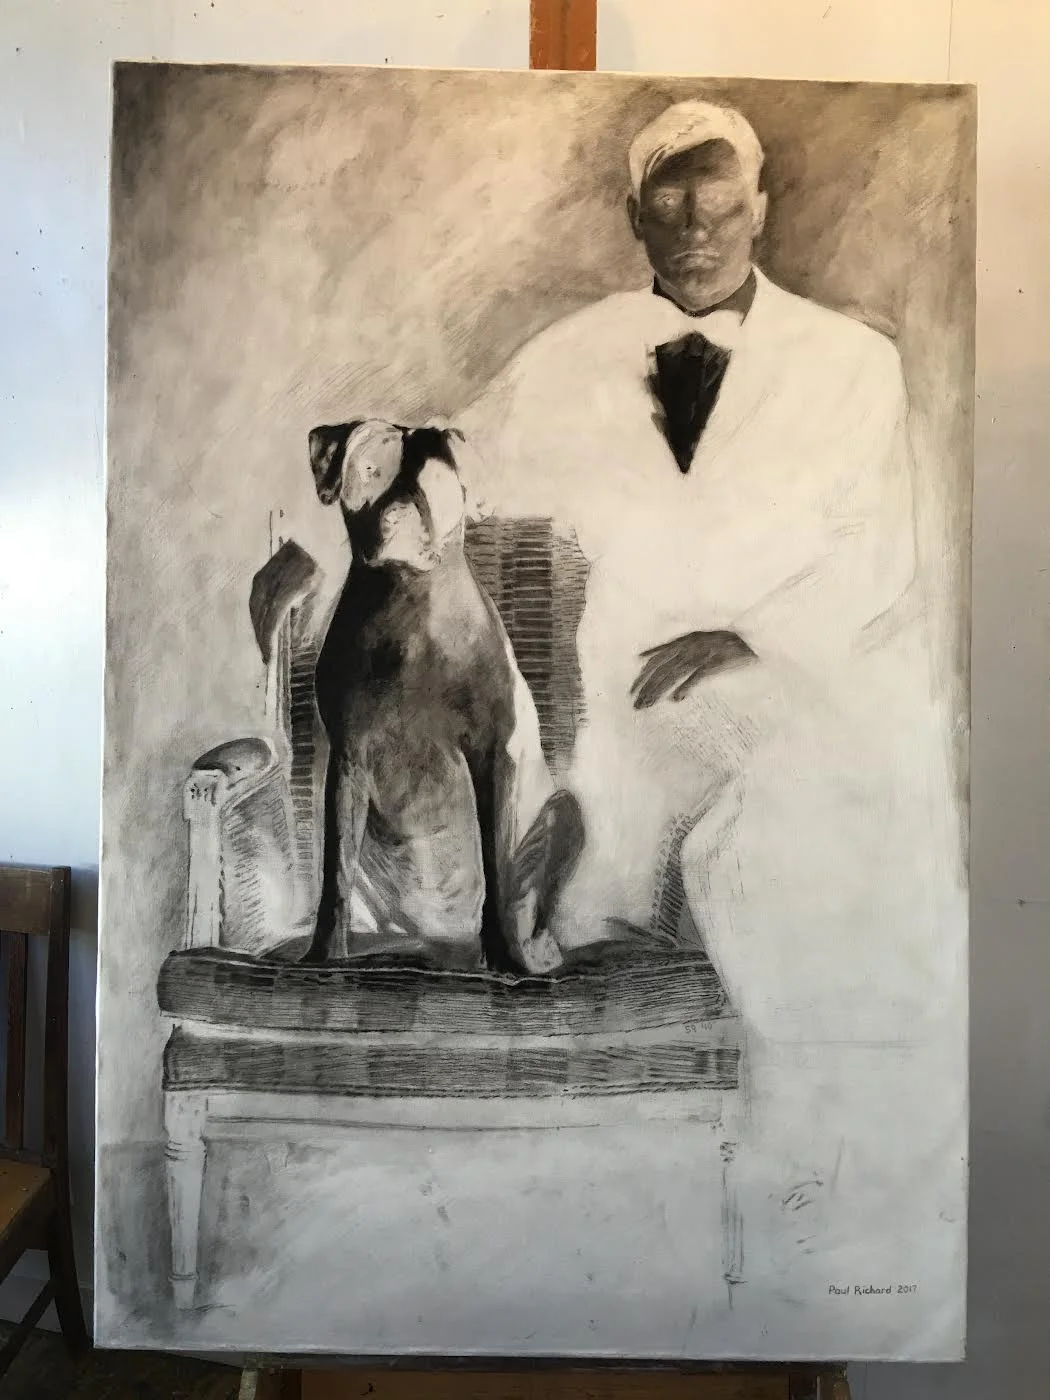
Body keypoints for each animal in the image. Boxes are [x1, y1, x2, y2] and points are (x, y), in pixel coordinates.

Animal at [303, 418, 583, 974]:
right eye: (370, 471)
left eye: (434, 481)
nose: (400, 514)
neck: (408, 604)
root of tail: (434, 935)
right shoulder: (348, 762)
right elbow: (335, 872)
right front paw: (324, 956)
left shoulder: (493, 758)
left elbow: (496, 866)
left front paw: (503, 958)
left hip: (565, 813)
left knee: (532, 900)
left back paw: (535, 952)